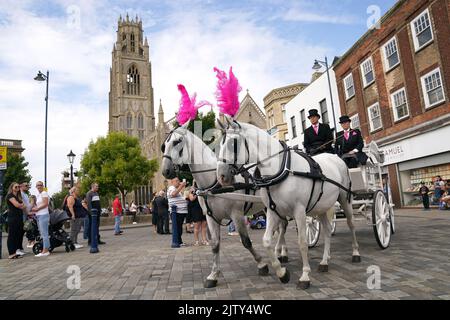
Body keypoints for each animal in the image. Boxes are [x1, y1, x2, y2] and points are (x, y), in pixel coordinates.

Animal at [161, 124, 288, 288]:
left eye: (177, 141)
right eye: (164, 145)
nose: (166, 171)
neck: (214, 182)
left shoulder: (237, 214)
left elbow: (246, 241)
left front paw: (262, 264)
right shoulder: (210, 217)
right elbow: (215, 245)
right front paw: (213, 275)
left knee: (282, 226)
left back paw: (280, 253)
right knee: (281, 226)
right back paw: (281, 253)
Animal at [216, 120, 360, 290]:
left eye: (233, 143)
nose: (221, 176)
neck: (280, 169)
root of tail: (335, 157)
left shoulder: (299, 211)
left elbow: (302, 242)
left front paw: (305, 276)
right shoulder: (272, 211)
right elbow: (266, 241)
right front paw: (282, 273)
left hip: (345, 198)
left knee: (351, 224)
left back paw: (355, 253)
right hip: (322, 207)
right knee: (327, 230)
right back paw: (325, 261)